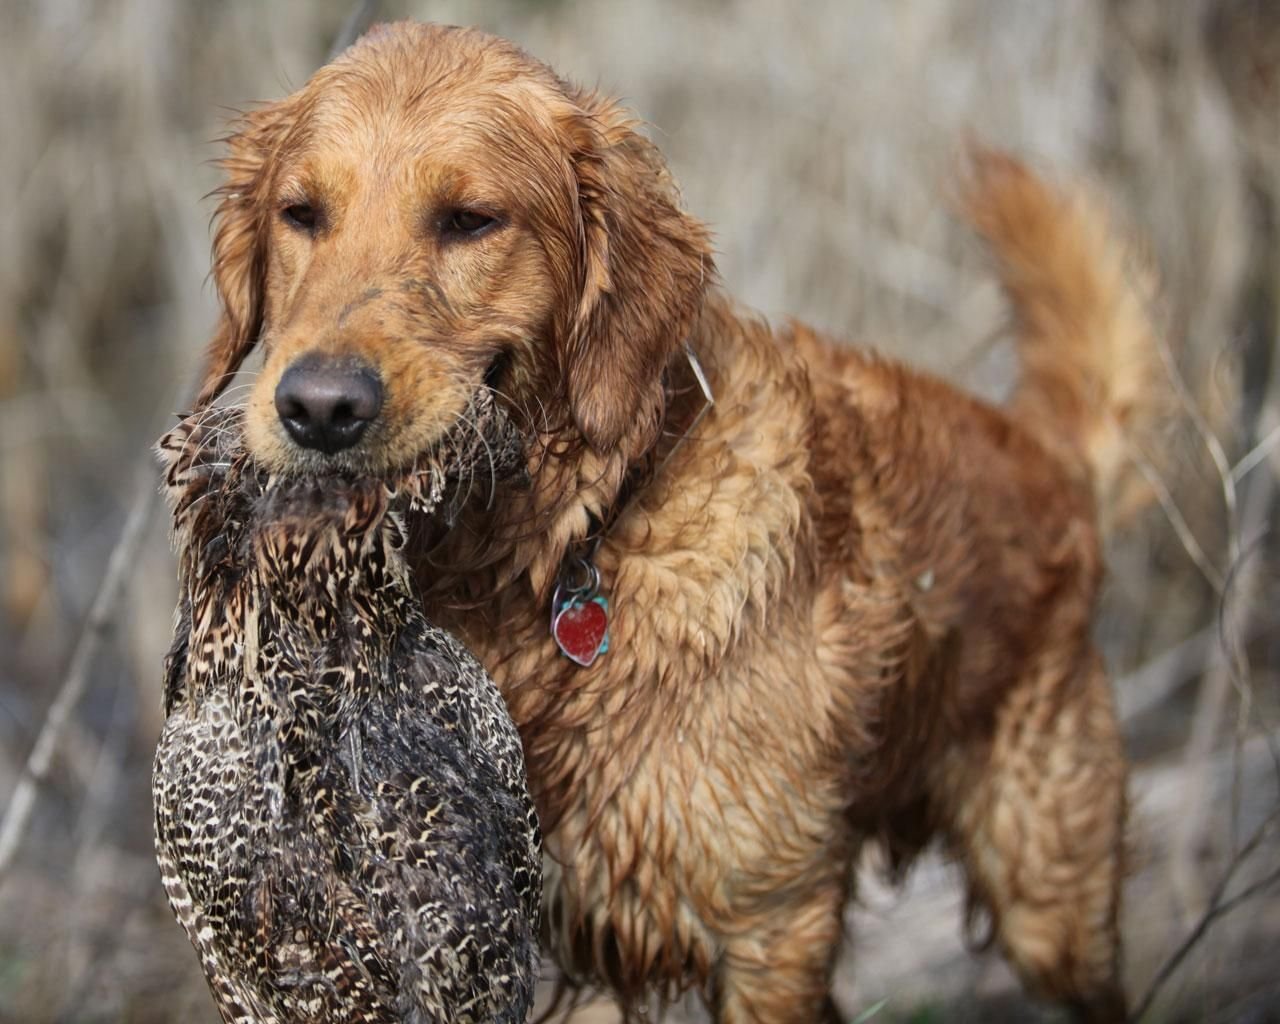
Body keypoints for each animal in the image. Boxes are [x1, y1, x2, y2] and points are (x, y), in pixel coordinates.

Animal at [192, 20, 1162, 1018]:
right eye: (302, 214)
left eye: (469, 220)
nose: (320, 409)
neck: (570, 544)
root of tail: (1048, 455)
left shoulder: (773, 923)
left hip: (1049, 894)